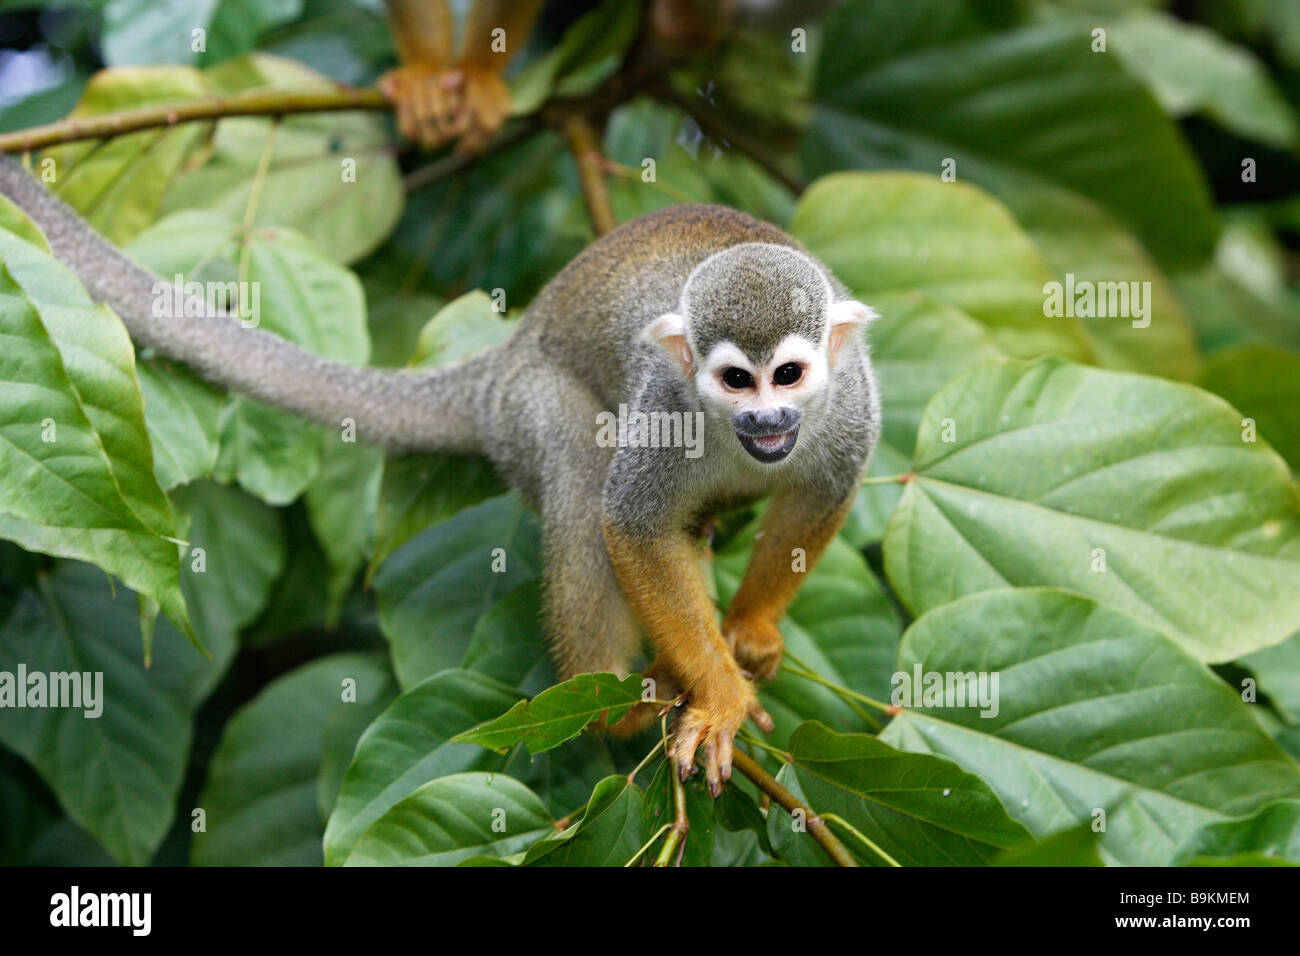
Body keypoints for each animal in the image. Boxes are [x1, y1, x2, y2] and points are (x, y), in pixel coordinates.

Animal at [0, 160, 878, 796]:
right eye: (735, 381)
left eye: (788, 374)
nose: (767, 420)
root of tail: (508, 348)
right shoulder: (665, 403)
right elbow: (629, 523)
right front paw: (719, 691)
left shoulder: (850, 403)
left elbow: (823, 489)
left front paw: (752, 629)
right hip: (524, 402)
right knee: (576, 466)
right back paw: (613, 708)